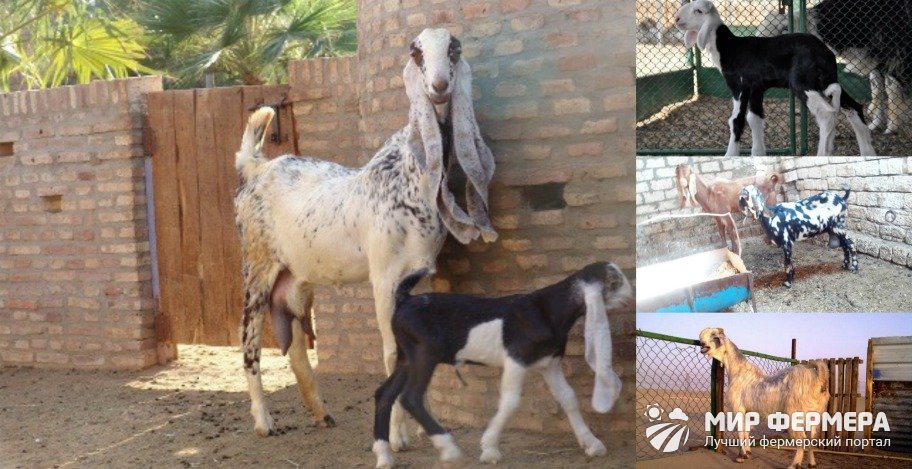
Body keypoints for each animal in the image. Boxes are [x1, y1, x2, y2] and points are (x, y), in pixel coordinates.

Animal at [234, 28, 497, 446]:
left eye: (454, 49)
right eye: (416, 52)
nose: (439, 87)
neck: (408, 177)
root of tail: (256, 169)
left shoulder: (419, 275)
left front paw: (418, 425)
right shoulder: (384, 276)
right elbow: (391, 352)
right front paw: (396, 436)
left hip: (296, 276)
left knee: (295, 341)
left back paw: (321, 414)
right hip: (257, 264)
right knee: (249, 338)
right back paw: (263, 421)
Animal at [372, 263, 631, 468]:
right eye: (614, 282)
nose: (630, 297)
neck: (547, 309)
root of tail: (405, 299)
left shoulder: (548, 363)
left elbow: (568, 397)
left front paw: (592, 444)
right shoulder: (516, 359)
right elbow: (511, 402)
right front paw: (489, 449)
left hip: (407, 356)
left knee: (384, 393)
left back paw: (384, 455)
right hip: (425, 353)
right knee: (411, 397)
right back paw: (449, 449)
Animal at [675, 0, 876, 156]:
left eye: (698, 11)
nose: (676, 19)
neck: (729, 49)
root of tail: (826, 54)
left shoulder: (739, 87)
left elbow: (736, 121)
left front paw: (730, 156)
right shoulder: (756, 89)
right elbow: (754, 120)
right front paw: (758, 157)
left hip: (802, 83)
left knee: (826, 115)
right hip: (826, 79)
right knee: (854, 108)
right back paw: (868, 154)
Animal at [699, 328, 829, 469]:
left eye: (714, 335)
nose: (701, 343)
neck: (738, 372)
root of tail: (818, 379)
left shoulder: (738, 408)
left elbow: (740, 432)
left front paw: (741, 456)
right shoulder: (749, 412)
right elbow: (746, 431)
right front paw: (747, 453)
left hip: (795, 413)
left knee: (802, 439)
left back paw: (794, 464)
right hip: (815, 415)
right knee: (812, 439)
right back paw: (812, 463)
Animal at [757, 0, 912, 135]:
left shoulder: (896, 55)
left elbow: (891, 89)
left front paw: (892, 127)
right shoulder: (875, 58)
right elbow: (877, 89)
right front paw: (875, 124)